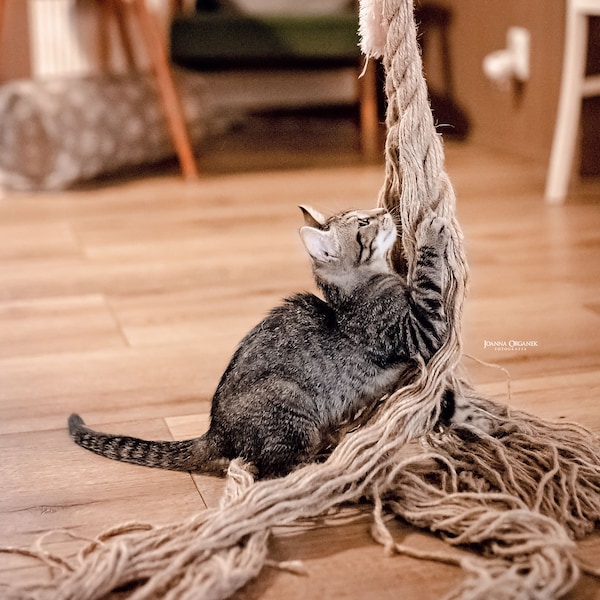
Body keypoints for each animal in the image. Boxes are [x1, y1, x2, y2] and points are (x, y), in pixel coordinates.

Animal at [69, 206, 450, 478]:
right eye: (363, 221)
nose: (384, 210)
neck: (360, 288)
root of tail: (215, 431)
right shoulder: (417, 332)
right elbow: (428, 284)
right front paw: (431, 230)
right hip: (290, 402)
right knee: (272, 470)